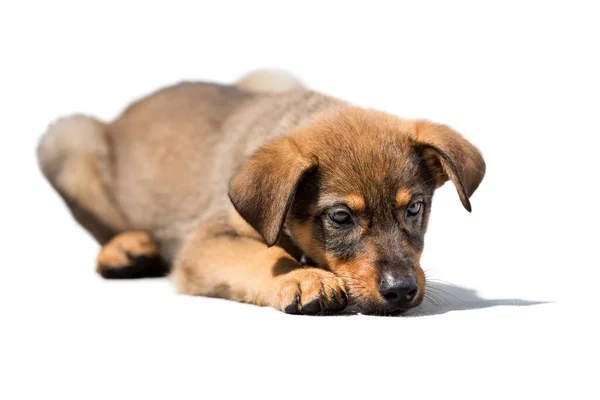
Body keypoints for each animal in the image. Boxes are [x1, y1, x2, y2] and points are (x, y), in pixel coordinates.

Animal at [37, 70, 486, 314]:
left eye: (414, 208)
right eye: (340, 217)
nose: (401, 290)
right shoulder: (205, 239)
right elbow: (263, 255)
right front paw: (304, 279)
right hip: (65, 139)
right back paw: (126, 249)